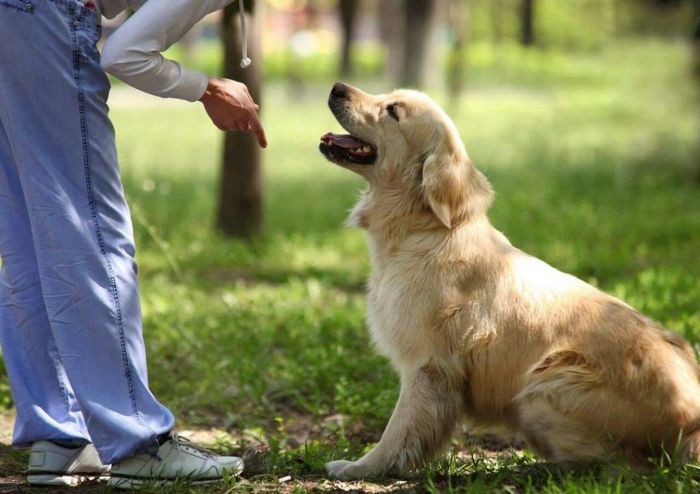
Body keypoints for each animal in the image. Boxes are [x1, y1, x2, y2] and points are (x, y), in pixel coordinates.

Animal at [318, 82, 700, 478]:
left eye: (393, 111)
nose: (337, 87)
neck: (424, 230)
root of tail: (692, 426)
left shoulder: (428, 366)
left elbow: (398, 431)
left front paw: (360, 467)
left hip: (543, 387)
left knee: (620, 465)